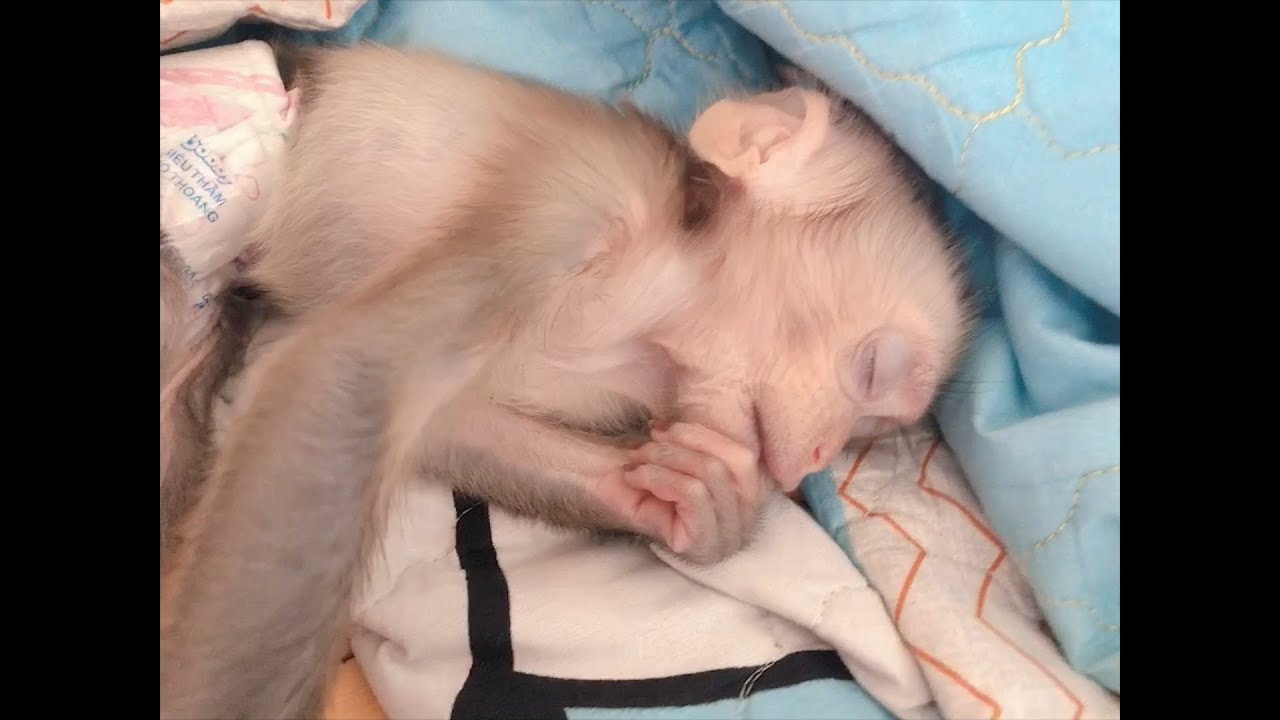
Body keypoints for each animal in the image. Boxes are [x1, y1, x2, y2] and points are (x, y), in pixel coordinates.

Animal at [159, 43, 973, 719]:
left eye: (866, 434)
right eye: (873, 368)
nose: (815, 460)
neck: (655, 316)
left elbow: (450, 425)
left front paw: (707, 500)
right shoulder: (579, 196)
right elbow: (346, 367)